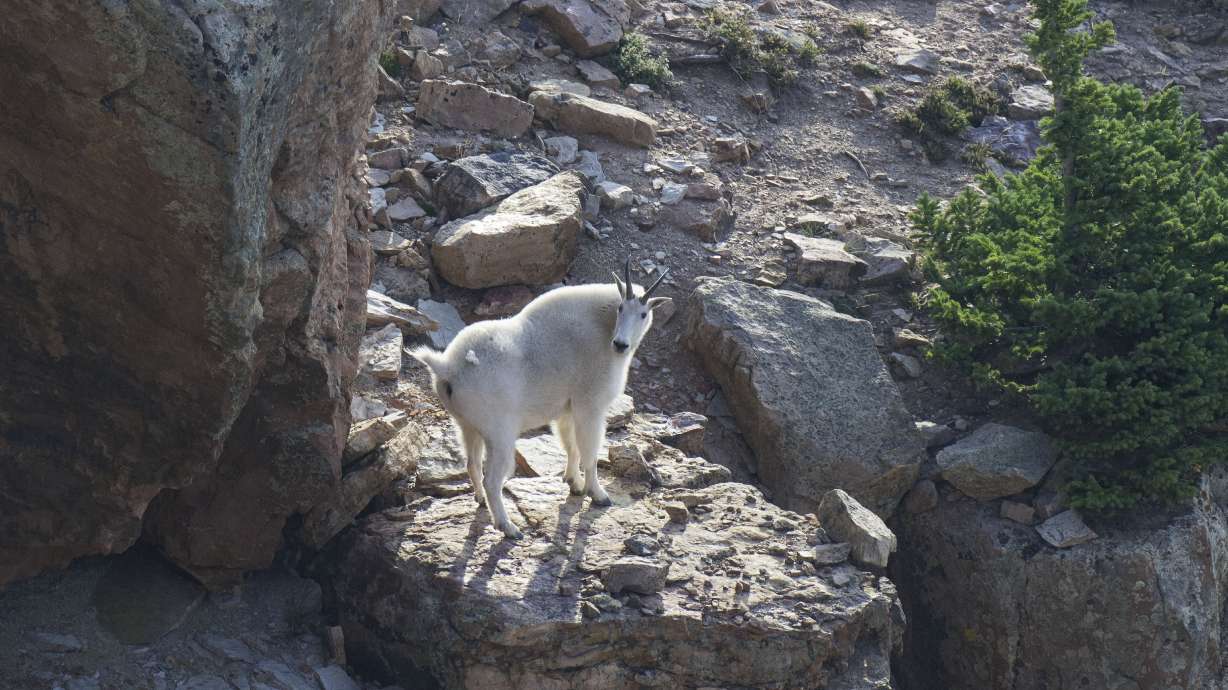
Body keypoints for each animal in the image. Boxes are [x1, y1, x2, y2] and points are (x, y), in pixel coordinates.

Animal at [410, 260, 670, 539]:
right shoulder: (590, 406)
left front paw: (575, 484)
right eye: (621, 308)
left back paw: (480, 501)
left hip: (467, 426)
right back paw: (508, 527)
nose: (620, 344)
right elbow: (589, 452)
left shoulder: (567, 410)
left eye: (643, 314)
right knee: (493, 480)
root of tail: (448, 367)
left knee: (472, 464)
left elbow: (571, 446)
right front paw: (599, 495)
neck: (602, 329)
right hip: (499, 433)